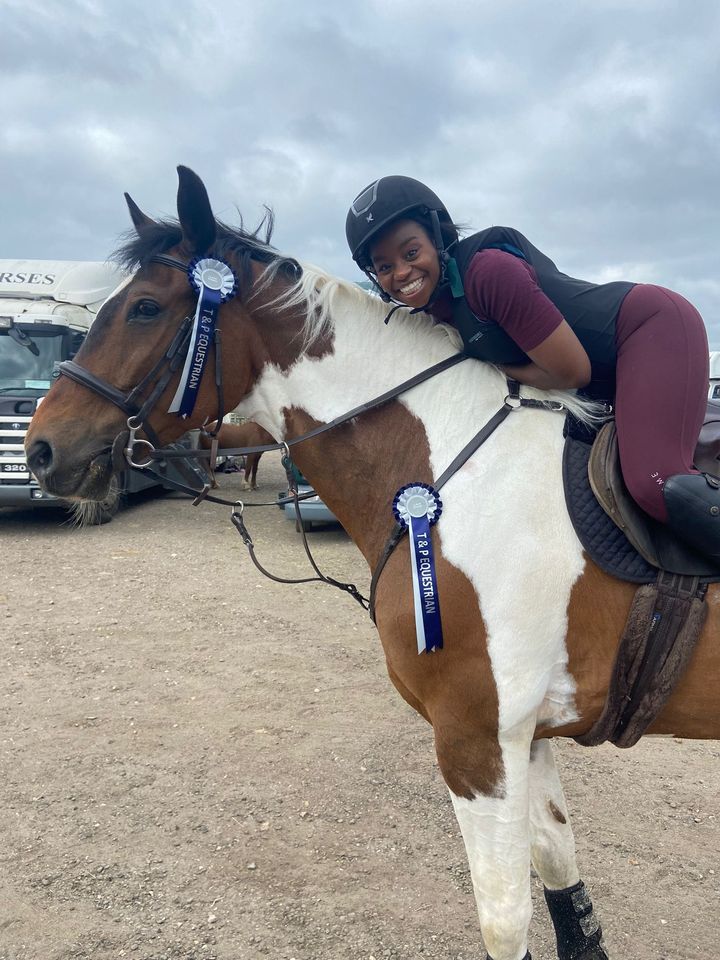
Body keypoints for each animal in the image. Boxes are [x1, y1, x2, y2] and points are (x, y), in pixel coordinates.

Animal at [25, 167, 720, 960]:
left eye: (144, 308)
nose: (41, 450)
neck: (449, 472)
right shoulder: (524, 736)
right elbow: (559, 876)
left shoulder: (475, 741)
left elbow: (504, 919)